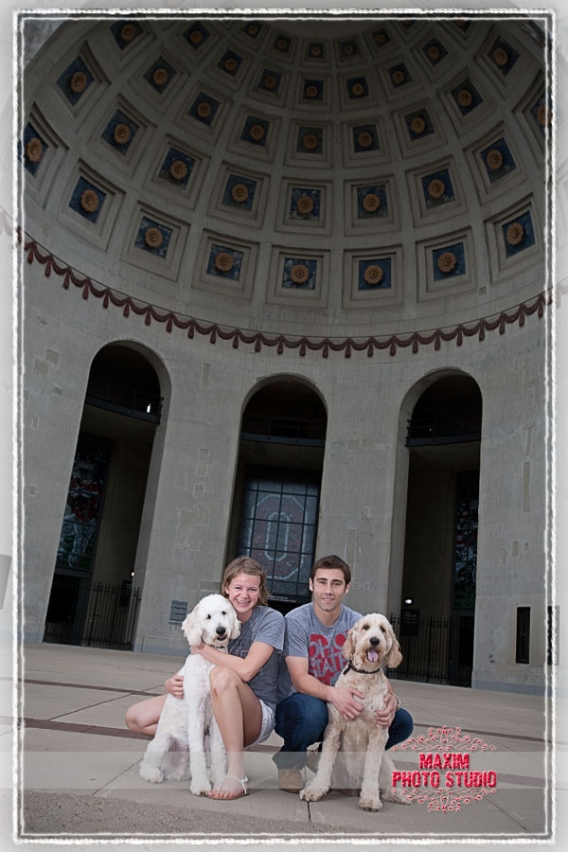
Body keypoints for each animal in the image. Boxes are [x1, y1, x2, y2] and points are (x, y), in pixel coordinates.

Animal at [142, 596, 242, 796]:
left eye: (224, 613)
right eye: (208, 616)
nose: (221, 630)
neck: (211, 662)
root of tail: (176, 771)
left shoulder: (216, 717)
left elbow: (219, 753)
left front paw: (220, 781)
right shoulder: (196, 710)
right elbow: (197, 751)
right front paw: (201, 785)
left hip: (205, 740)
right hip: (163, 741)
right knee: (146, 764)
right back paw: (153, 774)